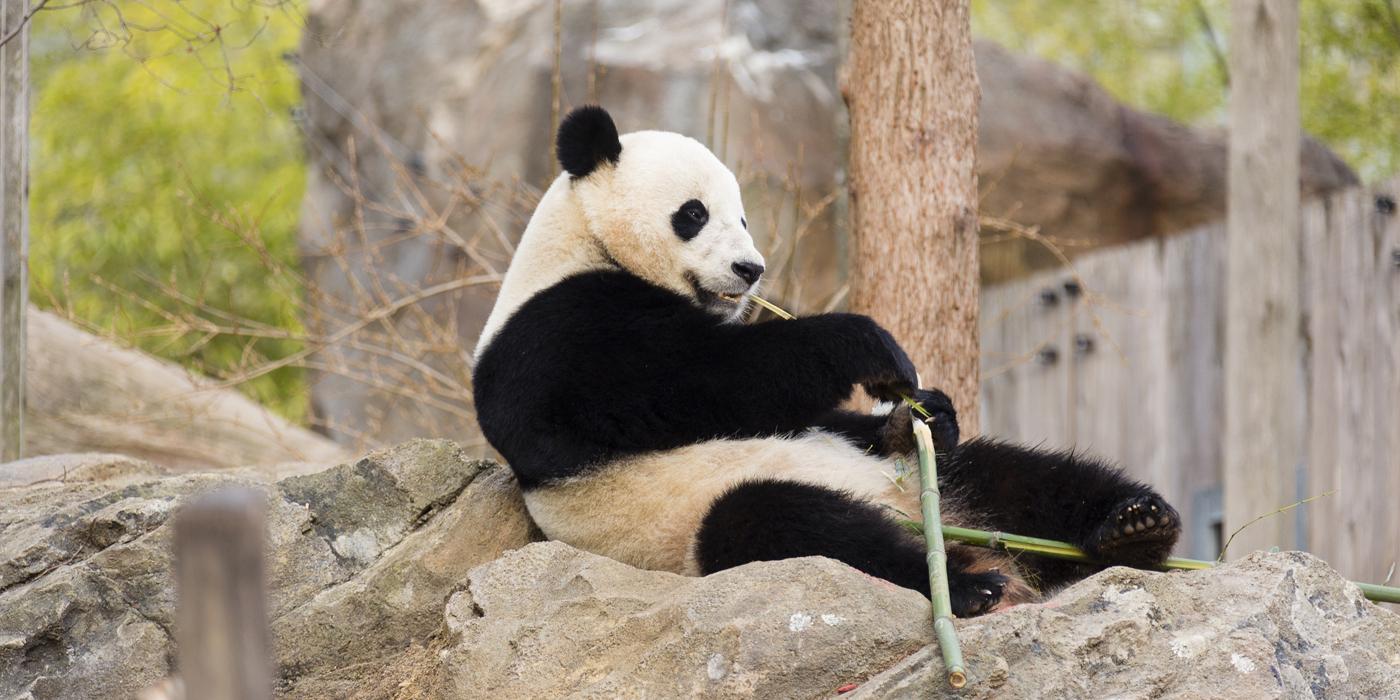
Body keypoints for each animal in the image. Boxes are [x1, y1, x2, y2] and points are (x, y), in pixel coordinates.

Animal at [473, 106, 1181, 616]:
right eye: (694, 214)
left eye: (743, 218)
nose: (751, 270)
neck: (584, 242)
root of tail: (935, 521)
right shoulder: (558, 339)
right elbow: (692, 382)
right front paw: (867, 345)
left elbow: (822, 414)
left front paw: (919, 410)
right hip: (688, 528)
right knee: (791, 523)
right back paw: (965, 585)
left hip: (938, 480)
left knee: (1016, 475)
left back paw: (1135, 526)